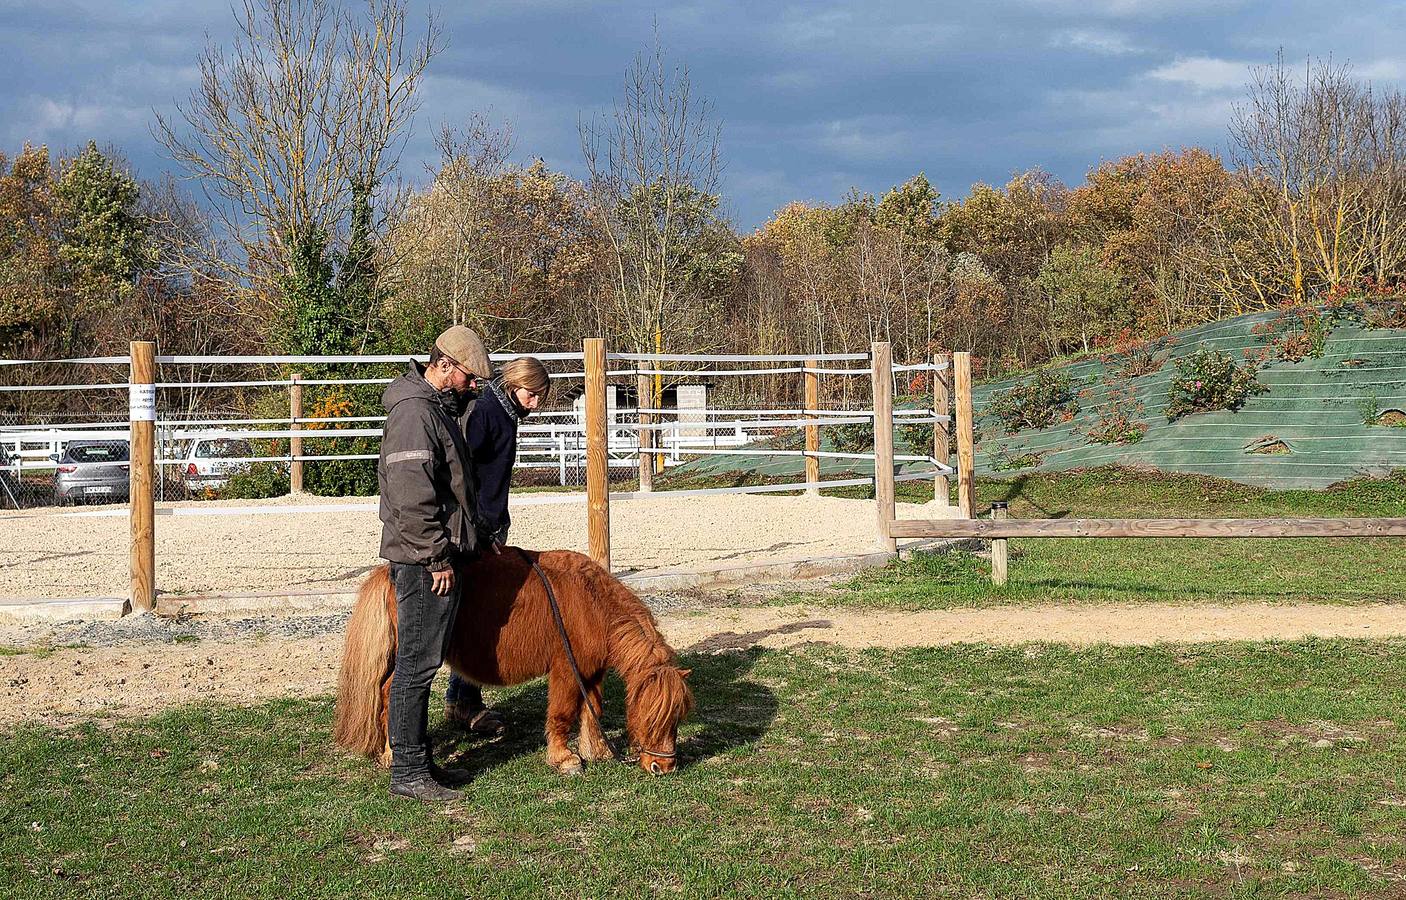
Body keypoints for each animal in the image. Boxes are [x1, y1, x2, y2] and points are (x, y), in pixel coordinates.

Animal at [330, 545, 691, 776]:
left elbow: (593, 711)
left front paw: (597, 751)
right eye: (652, 716)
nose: (663, 767)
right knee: (391, 694)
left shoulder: (591, 672)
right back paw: (392, 754)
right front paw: (565, 759)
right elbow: (562, 714)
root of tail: (387, 573)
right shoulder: (565, 671)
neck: (590, 603)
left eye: (677, 717)